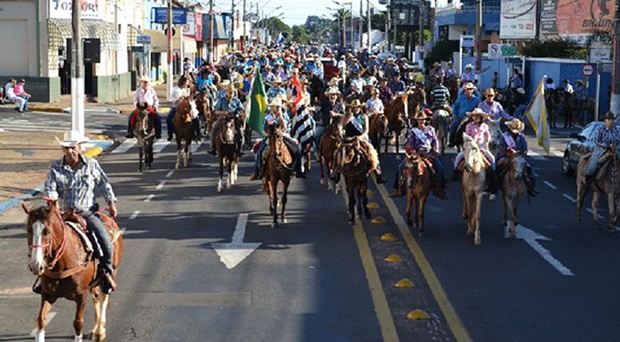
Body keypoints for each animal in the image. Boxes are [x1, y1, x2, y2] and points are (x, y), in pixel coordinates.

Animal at [23, 200, 123, 342]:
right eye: (28, 230)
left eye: (47, 231)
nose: (36, 265)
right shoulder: (47, 294)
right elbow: (41, 320)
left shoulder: (81, 295)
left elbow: (78, 323)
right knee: (96, 297)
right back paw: (95, 329)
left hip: (112, 272)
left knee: (105, 296)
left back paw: (99, 331)